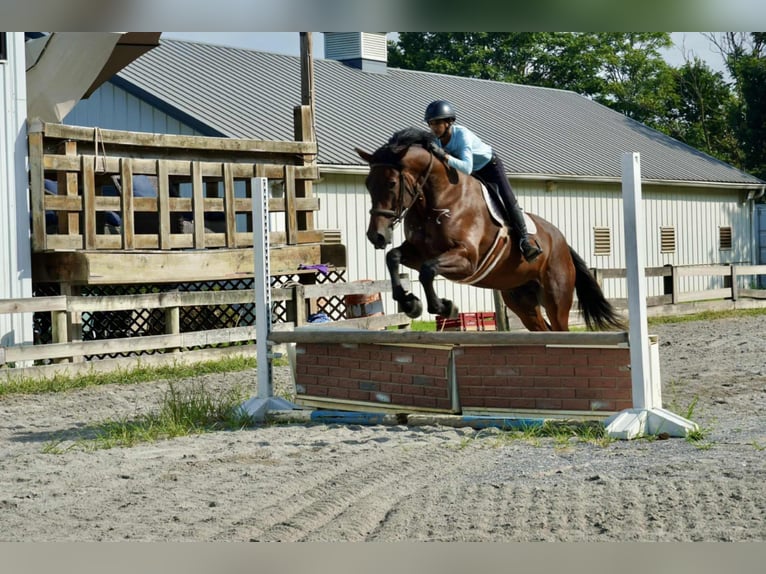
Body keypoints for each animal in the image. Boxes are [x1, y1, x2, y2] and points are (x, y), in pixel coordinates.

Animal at [354, 127, 625, 332]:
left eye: (391, 183)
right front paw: (410, 303)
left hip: (556, 297)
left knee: (560, 328)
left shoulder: (467, 259)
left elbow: (427, 271)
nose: (376, 235)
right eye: (367, 184)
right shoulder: (419, 252)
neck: (436, 200)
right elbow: (394, 257)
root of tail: (562, 243)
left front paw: (443, 306)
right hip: (520, 299)